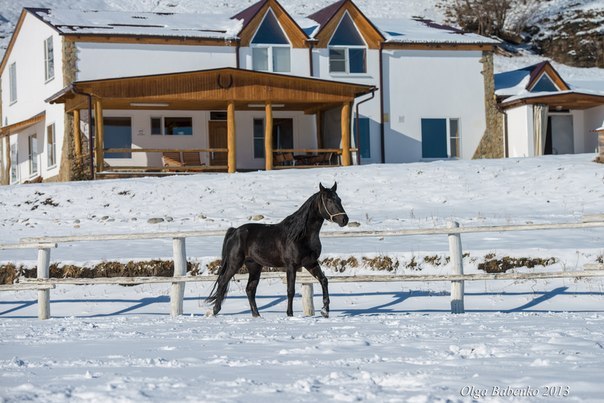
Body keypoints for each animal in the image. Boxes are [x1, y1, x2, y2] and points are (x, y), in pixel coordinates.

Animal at [208, 183, 350, 318]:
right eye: (329, 200)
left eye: (339, 199)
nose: (344, 220)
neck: (300, 235)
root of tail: (234, 231)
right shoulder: (291, 266)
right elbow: (290, 290)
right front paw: (290, 314)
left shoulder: (310, 263)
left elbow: (324, 280)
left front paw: (325, 311)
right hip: (235, 263)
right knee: (222, 282)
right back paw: (214, 311)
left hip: (254, 266)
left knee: (250, 289)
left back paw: (257, 315)